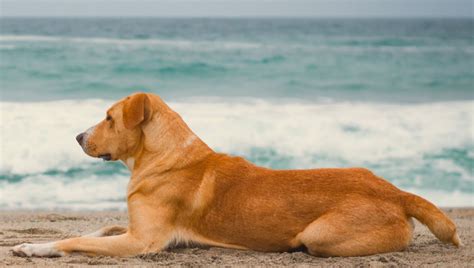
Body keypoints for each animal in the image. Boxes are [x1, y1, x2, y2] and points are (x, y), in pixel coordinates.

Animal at [12, 92, 462, 258]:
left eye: (108, 118)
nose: (77, 136)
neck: (165, 156)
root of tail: (397, 192)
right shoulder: (130, 229)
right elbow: (98, 228)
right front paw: (34, 243)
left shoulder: (142, 242)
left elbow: (75, 239)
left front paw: (37, 248)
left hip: (320, 235)